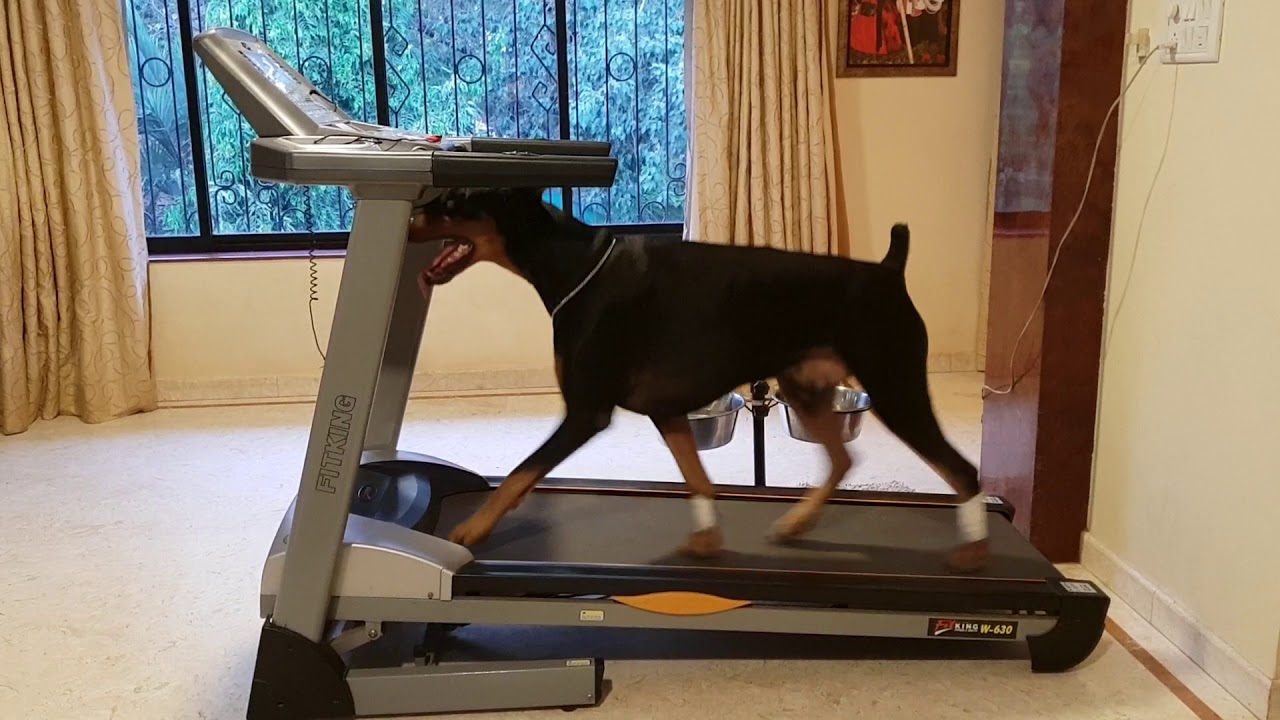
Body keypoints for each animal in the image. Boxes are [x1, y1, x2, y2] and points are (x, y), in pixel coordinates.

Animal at [409, 188, 988, 568]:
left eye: (455, 202)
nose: (412, 212)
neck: (575, 266)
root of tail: (888, 271)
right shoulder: (666, 410)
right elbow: (698, 477)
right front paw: (708, 539)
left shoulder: (586, 413)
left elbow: (518, 475)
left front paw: (473, 528)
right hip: (803, 386)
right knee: (844, 457)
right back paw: (797, 523)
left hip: (895, 387)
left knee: (964, 472)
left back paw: (975, 549)